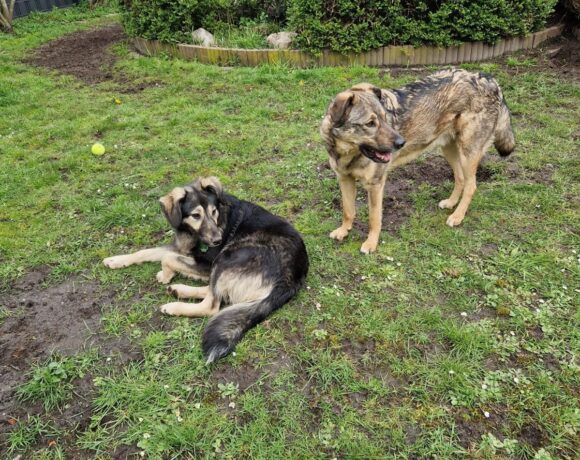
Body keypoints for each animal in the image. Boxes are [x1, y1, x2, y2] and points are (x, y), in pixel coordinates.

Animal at [106, 176, 310, 362]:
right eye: (196, 215)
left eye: (214, 212)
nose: (218, 240)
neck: (193, 233)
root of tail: (290, 280)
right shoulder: (181, 247)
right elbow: (145, 252)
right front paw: (115, 260)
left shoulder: (206, 264)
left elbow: (167, 258)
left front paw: (165, 275)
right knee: (216, 292)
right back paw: (179, 290)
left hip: (227, 257)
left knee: (211, 305)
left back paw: (174, 305)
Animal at [322, 68, 516, 253]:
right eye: (370, 123)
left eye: (385, 118)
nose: (401, 143)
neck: (348, 153)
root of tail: (488, 79)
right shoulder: (344, 179)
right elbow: (348, 211)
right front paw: (343, 231)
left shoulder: (375, 185)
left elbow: (374, 219)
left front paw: (371, 244)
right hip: (450, 150)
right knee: (460, 178)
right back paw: (451, 203)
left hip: (468, 154)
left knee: (471, 186)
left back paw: (457, 216)